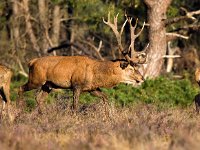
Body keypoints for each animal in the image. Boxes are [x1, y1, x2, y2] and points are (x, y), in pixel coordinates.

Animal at [18, 12, 148, 112]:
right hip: (36, 79)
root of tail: (31, 62)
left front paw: (108, 117)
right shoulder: (76, 85)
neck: (95, 74)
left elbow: (105, 98)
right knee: (20, 88)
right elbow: (74, 107)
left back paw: (42, 114)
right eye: (130, 68)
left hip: (48, 85)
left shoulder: (92, 88)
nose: (142, 78)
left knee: (39, 98)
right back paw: (19, 110)